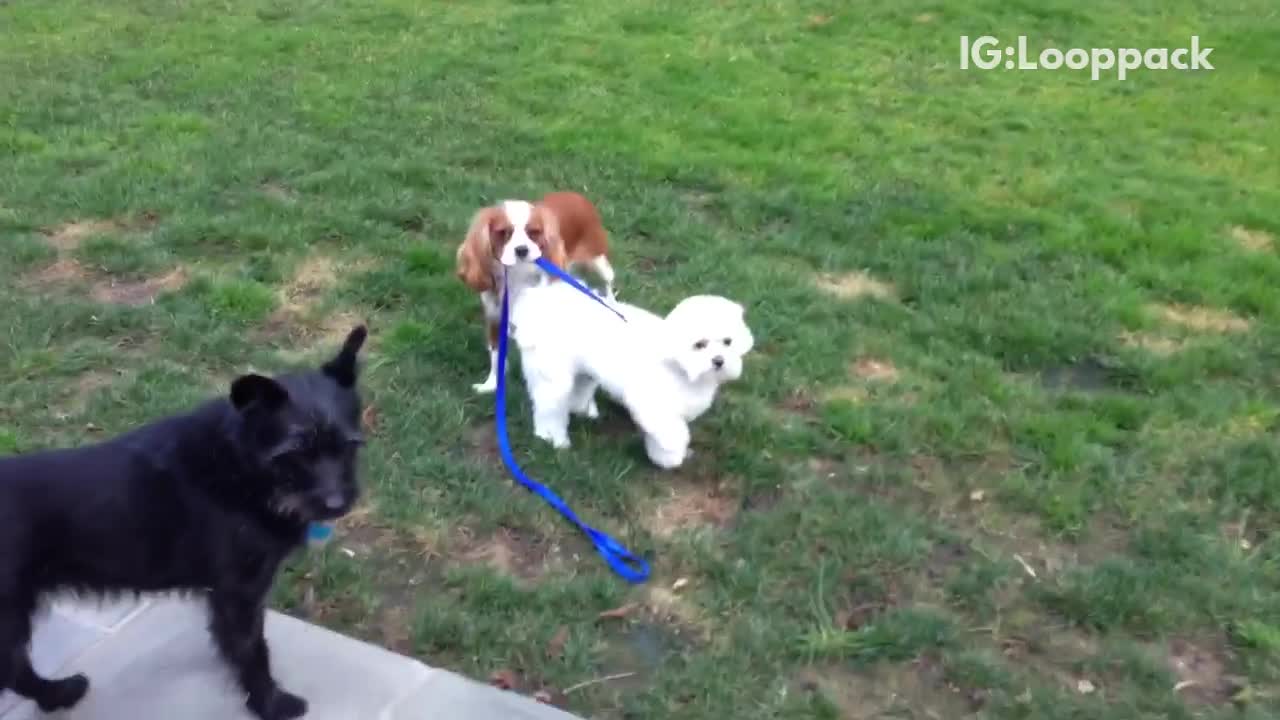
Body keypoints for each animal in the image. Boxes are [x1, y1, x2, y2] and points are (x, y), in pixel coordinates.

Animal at [1, 326, 371, 717]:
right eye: (296, 452)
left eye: (349, 446)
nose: (337, 505)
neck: (241, 464)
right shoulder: (238, 594)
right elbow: (252, 652)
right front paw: (269, 703)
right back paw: (57, 693)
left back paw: (55, 694)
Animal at [455, 190, 614, 392]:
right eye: (503, 233)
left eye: (534, 233)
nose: (522, 250)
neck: (516, 274)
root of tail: (575, 194)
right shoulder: (495, 318)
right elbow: (496, 355)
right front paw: (491, 384)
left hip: (597, 261)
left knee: (608, 282)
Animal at [506, 278, 752, 468]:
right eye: (699, 344)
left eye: (728, 342)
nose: (718, 361)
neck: (679, 366)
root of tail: (540, 304)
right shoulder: (653, 405)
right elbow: (673, 433)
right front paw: (673, 453)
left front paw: (662, 457)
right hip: (553, 376)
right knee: (549, 408)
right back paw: (553, 439)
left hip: (583, 372)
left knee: (578, 390)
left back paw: (583, 411)